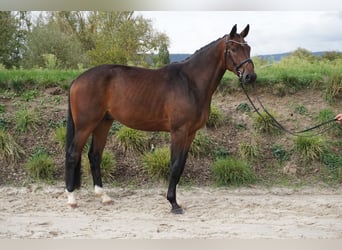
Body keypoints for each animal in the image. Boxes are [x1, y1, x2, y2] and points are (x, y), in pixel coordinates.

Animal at [65, 24, 256, 214]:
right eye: (233, 49)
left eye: (248, 48)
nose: (250, 77)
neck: (190, 83)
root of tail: (77, 80)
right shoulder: (179, 131)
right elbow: (175, 165)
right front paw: (173, 203)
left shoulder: (190, 133)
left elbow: (181, 165)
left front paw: (176, 201)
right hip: (85, 125)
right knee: (73, 154)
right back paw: (72, 199)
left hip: (103, 123)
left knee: (95, 155)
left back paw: (104, 196)